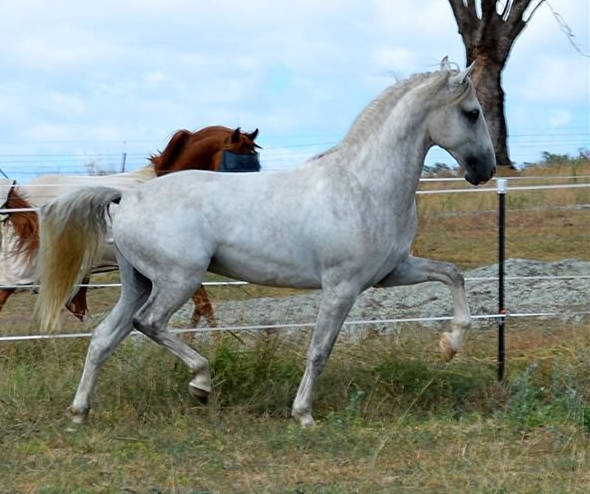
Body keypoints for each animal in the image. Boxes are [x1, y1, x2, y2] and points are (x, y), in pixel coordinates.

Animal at [37, 60, 498, 424]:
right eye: (472, 113)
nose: (485, 170)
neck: (362, 185)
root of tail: (127, 196)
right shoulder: (342, 286)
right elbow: (319, 349)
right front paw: (303, 414)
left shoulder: (392, 271)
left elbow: (453, 275)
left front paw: (450, 345)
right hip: (177, 280)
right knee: (147, 323)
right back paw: (200, 383)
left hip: (139, 282)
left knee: (103, 338)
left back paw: (79, 413)